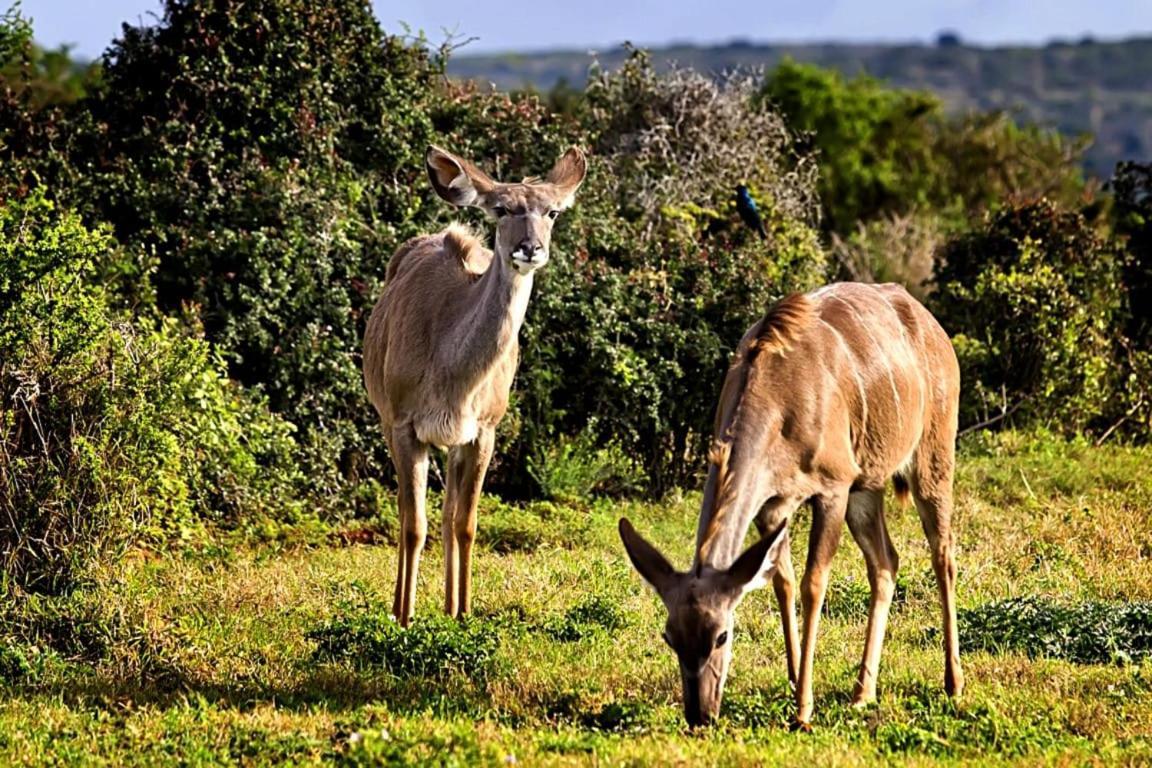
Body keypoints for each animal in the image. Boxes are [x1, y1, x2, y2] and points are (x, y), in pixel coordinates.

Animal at [364, 143, 585, 626]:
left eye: (553, 212)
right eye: (501, 208)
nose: (530, 249)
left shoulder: (483, 430)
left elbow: (465, 523)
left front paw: (463, 615)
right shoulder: (405, 425)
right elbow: (413, 525)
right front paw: (404, 619)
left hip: (455, 444)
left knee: (449, 515)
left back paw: (448, 607)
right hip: (392, 425)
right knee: (412, 514)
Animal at [622, 285, 963, 732]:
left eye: (722, 636)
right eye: (670, 637)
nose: (700, 715)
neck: (778, 395)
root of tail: (933, 327)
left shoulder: (833, 489)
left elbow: (812, 584)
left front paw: (803, 708)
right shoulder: (773, 506)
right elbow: (781, 581)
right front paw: (793, 676)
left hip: (930, 463)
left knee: (943, 555)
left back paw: (953, 683)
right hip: (867, 489)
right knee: (886, 563)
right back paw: (862, 693)